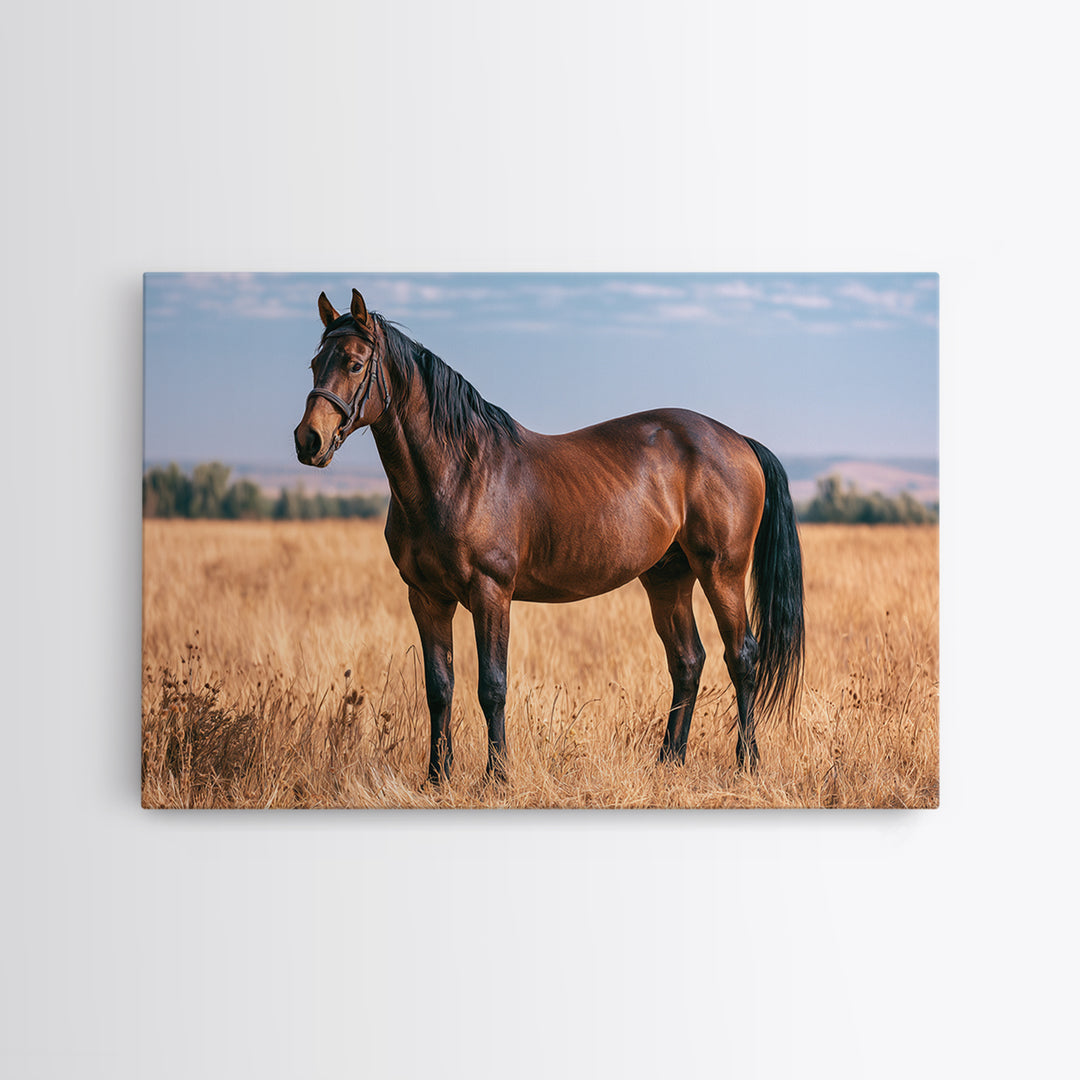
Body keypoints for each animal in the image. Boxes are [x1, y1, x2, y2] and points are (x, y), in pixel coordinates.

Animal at [294, 289, 804, 784]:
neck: (457, 472)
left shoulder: (491, 593)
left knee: (742, 657)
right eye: (316, 364)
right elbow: (439, 689)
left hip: (722, 573)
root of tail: (739, 440)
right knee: (688, 661)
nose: (308, 441)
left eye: (355, 363)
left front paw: (497, 777)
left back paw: (747, 764)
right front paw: (436, 778)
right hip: (667, 578)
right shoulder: (426, 597)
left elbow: (492, 686)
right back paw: (669, 761)